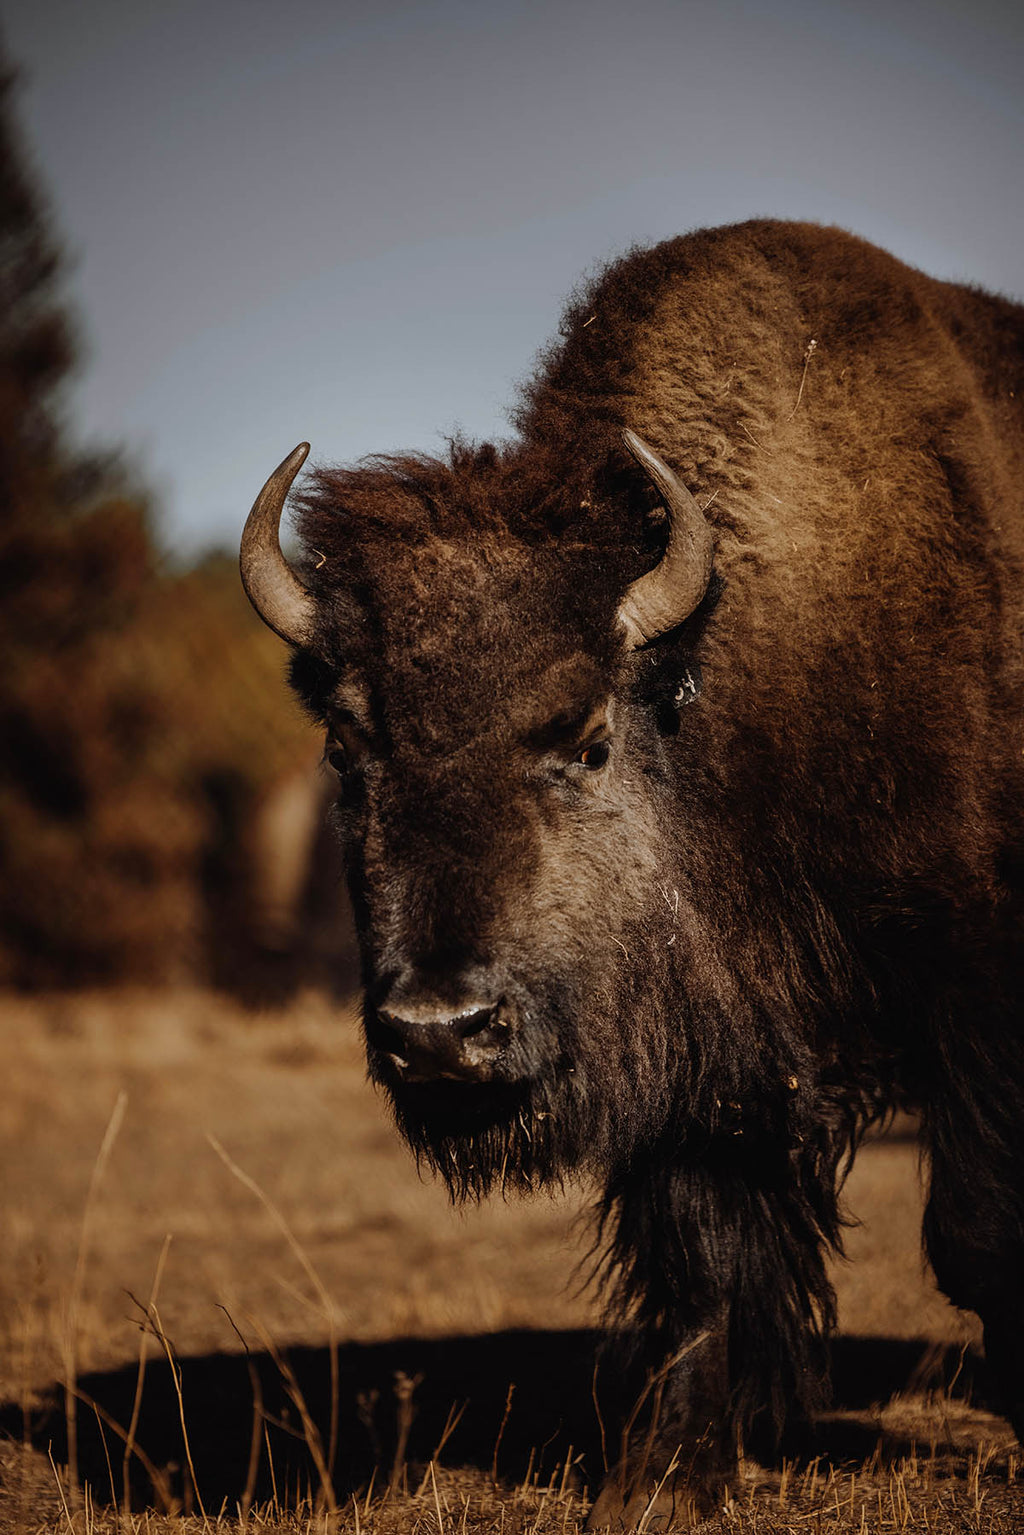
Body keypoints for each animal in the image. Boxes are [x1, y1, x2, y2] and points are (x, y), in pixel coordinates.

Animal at [237, 222, 1024, 1528]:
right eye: (348, 744)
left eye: (586, 736)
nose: (438, 1030)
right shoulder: (697, 1060)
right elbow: (700, 1256)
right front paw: (667, 1473)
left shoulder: (973, 1001)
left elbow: (974, 1229)